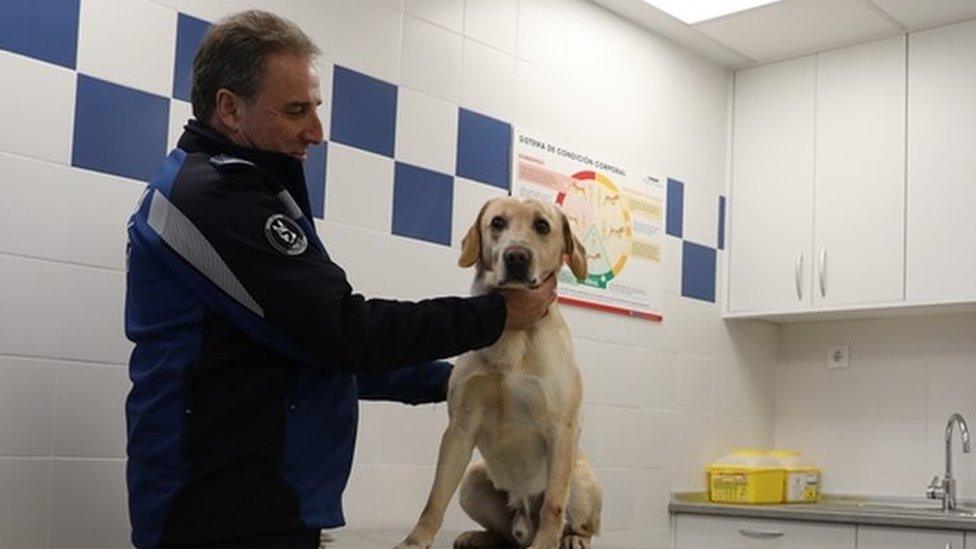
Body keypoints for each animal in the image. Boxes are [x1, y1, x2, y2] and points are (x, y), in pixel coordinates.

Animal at [396, 198, 604, 548]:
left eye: (542, 226)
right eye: (497, 223)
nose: (516, 256)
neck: (512, 331)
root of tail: (524, 517)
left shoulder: (561, 428)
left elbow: (554, 504)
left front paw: (546, 545)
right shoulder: (460, 427)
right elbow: (435, 498)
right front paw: (415, 541)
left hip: (579, 475)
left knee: (574, 519)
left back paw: (571, 538)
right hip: (473, 479)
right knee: (506, 535)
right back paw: (477, 537)